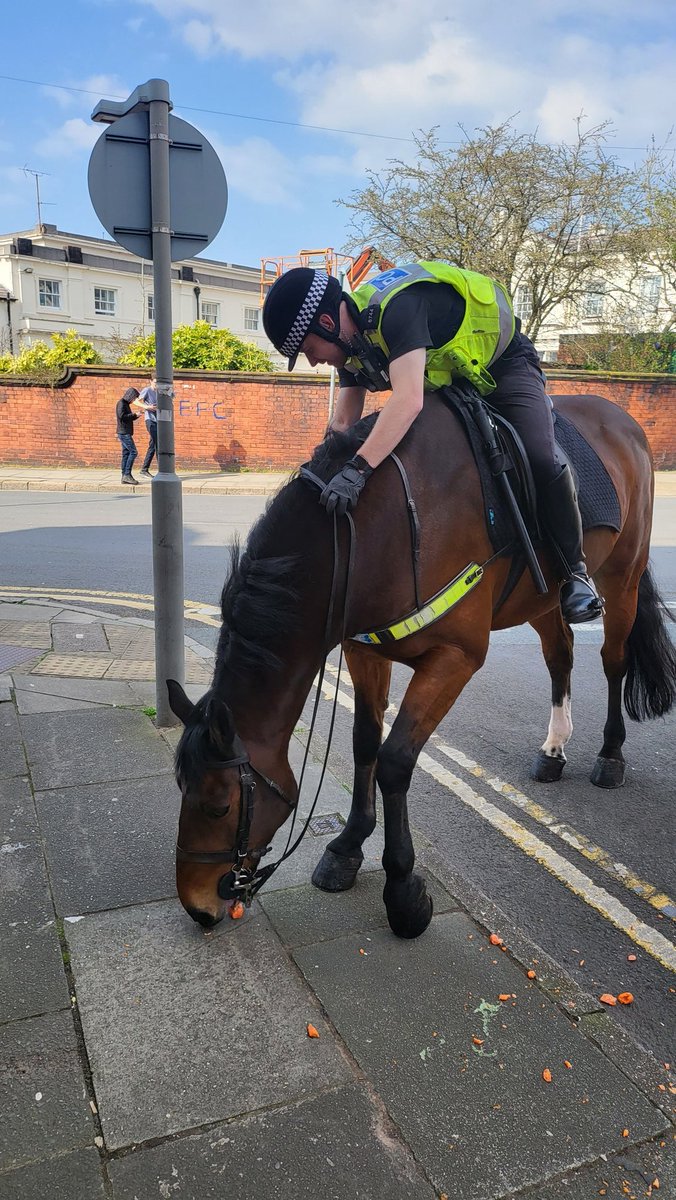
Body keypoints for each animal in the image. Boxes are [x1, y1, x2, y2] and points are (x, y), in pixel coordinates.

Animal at [169, 388, 676, 931]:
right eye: (181, 788)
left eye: (219, 806)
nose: (197, 906)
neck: (381, 526)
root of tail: (619, 417)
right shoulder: (363, 648)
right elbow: (365, 743)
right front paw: (348, 847)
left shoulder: (455, 656)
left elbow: (394, 761)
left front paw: (403, 890)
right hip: (542, 596)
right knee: (559, 655)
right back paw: (554, 748)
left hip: (622, 577)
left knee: (612, 660)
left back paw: (610, 754)